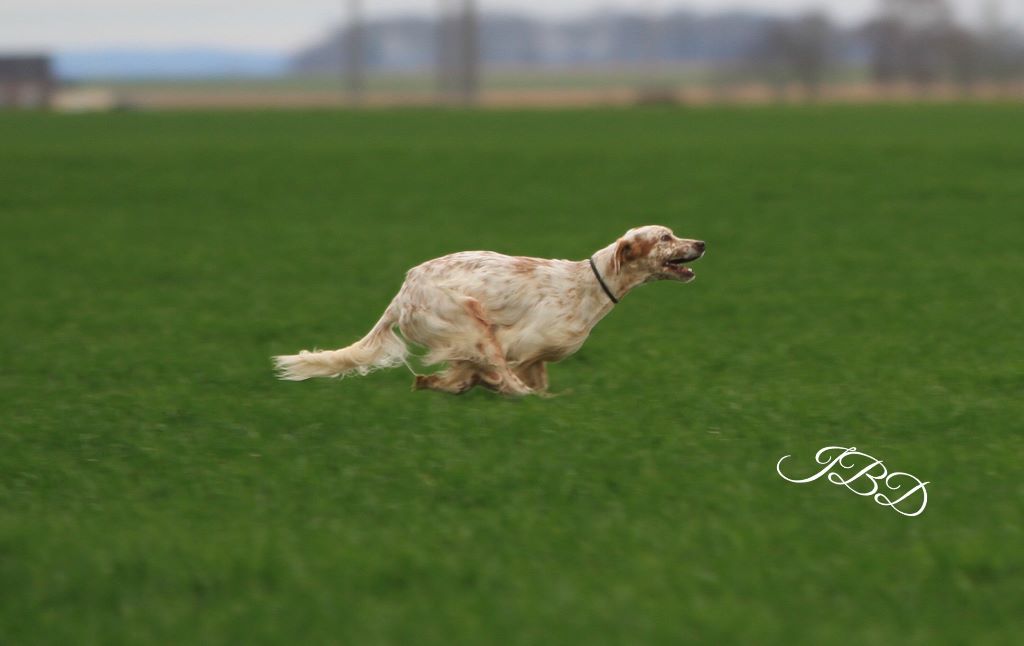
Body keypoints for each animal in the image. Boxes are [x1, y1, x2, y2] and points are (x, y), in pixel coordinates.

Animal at [272, 227, 704, 399]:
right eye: (665, 237)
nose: (701, 243)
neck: (589, 285)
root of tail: (404, 291)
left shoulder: (535, 358)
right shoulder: (518, 346)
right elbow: (507, 377)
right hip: (472, 322)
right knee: (505, 381)